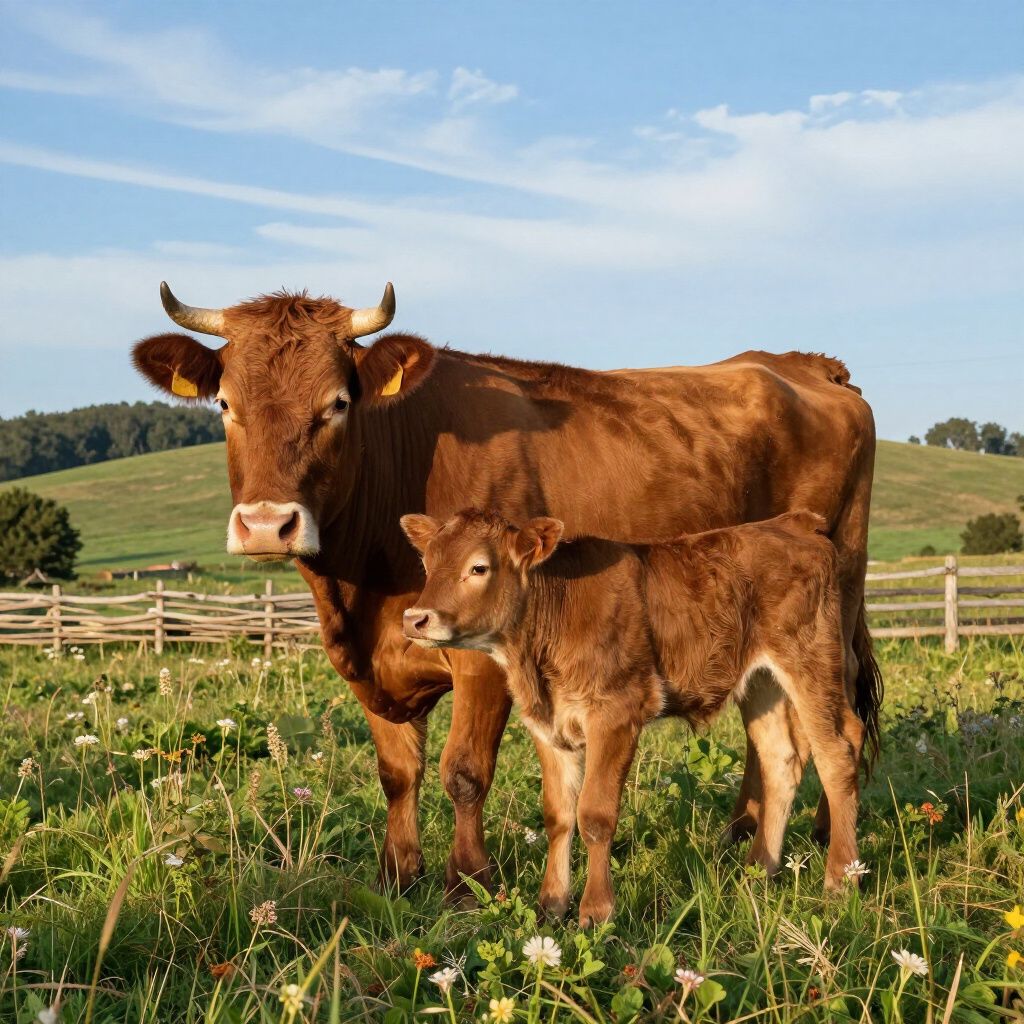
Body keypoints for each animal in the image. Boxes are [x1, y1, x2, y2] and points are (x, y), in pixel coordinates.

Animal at [399, 508, 863, 924]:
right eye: (426, 564)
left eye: (479, 567)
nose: (415, 619)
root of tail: (793, 523)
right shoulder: (548, 727)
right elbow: (558, 816)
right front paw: (551, 904)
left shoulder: (617, 713)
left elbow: (594, 815)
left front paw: (595, 911)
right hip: (763, 682)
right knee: (781, 759)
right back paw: (759, 871)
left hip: (811, 660)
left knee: (838, 752)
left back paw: (841, 878)